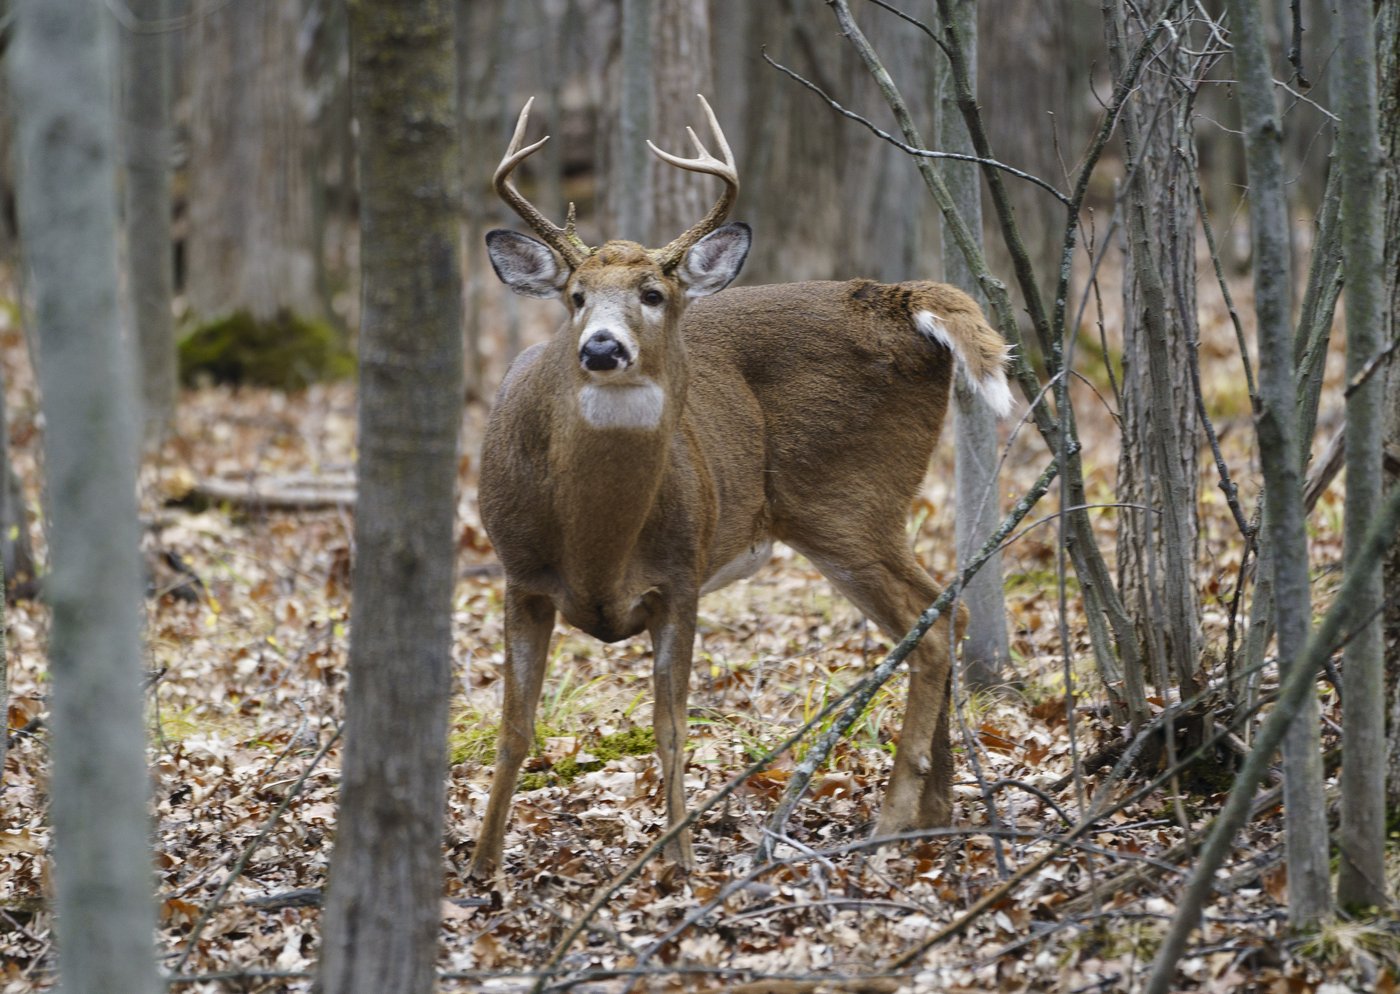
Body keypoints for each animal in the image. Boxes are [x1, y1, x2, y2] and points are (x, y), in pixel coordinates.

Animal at [468, 96, 1012, 878]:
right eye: (574, 297)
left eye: (654, 294)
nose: (601, 347)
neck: (595, 541)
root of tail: (897, 299)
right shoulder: (519, 573)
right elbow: (515, 727)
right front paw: (481, 867)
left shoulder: (680, 573)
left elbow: (669, 728)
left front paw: (681, 861)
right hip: (847, 517)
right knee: (943, 612)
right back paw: (933, 813)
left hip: (850, 502)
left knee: (932, 621)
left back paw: (893, 820)